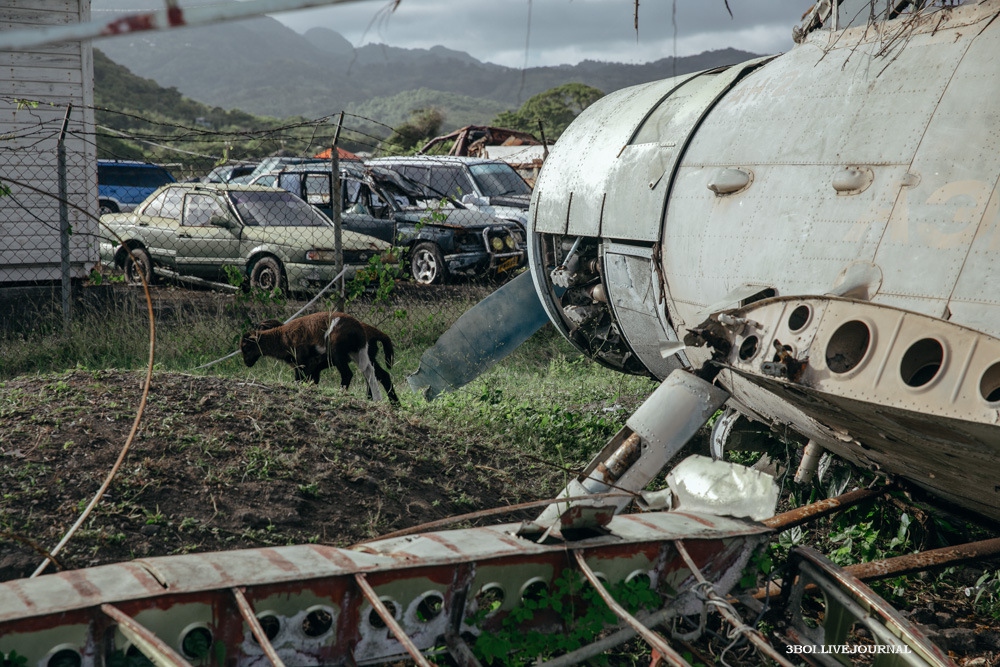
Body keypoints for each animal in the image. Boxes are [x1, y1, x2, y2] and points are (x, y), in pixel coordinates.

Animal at [240, 312, 396, 402]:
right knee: (372, 372)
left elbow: (299, 381)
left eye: (245, 347)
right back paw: (382, 400)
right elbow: (310, 382)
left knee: (348, 374)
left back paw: (342, 394)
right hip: (359, 353)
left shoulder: (304, 364)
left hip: (338, 351)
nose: (246, 363)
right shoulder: (311, 368)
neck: (281, 338)